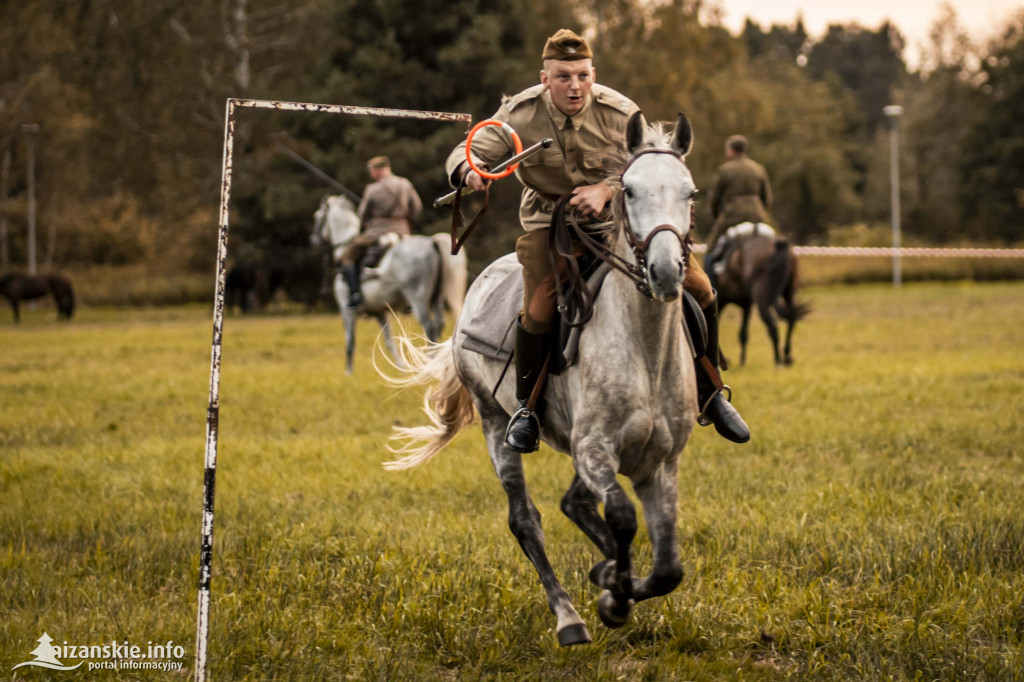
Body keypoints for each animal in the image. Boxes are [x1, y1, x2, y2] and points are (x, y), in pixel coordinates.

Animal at [307, 193, 468, 374]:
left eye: (317, 216)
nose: (312, 239)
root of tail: (431, 242)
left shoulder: (347, 311)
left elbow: (350, 342)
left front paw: (348, 373)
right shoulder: (380, 312)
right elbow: (390, 341)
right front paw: (401, 367)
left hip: (417, 299)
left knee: (430, 326)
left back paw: (429, 360)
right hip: (436, 298)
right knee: (439, 323)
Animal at [385, 111, 704, 643]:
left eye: (690, 191)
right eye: (630, 190)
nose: (664, 271)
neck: (644, 351)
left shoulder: (660, 462)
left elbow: (667, 569)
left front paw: (615, 582)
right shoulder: (595, 450)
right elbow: (622, 518)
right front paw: (614, 598)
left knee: (573, 505)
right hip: (495, 424)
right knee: (525, 519)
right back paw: (569, 618)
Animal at [712, 227, 806, 366]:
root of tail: (779, 244)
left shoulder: (727, 301)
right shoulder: (746, 305)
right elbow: (743, 334)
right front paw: (742, 361)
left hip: (762, 298)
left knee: (773, 325)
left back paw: (778, 361)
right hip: (789, 293)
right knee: (791, 319)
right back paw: (787, 356)